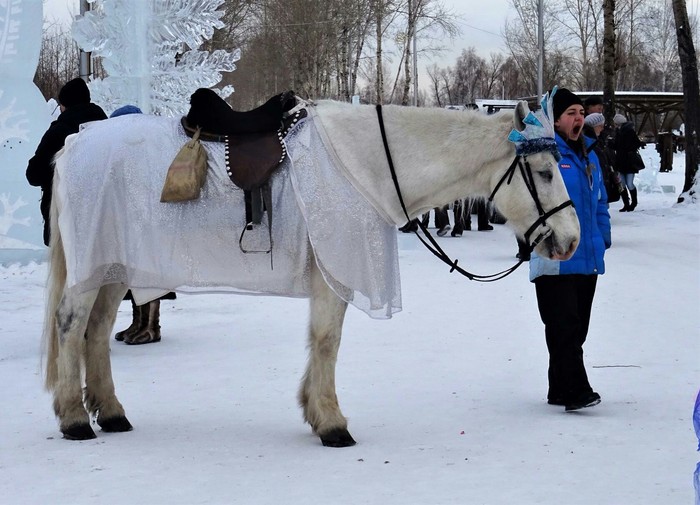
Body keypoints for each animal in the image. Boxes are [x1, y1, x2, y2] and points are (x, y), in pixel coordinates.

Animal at [42, 99, 580, 447]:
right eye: (546, 173)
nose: (572, 240)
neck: (366, 164)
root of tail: (73, 144)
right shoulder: (333, 274)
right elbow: (326, 340)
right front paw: (332, 422)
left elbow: (322, 341)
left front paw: (316, 412)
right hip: (93, 270)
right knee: (70, 325)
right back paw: (74, 419)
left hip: (113, 267)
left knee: (95, 331)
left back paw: (111, 413)